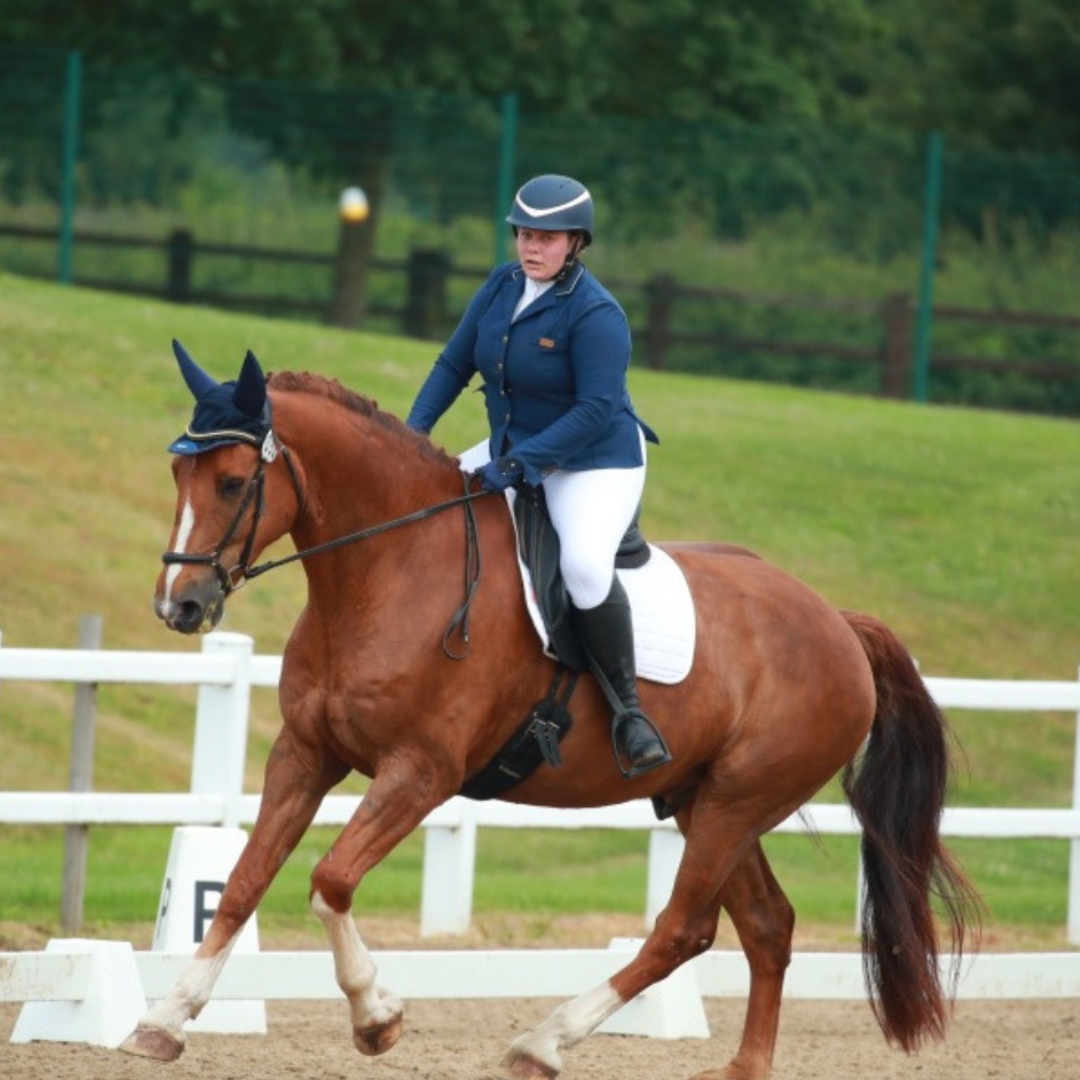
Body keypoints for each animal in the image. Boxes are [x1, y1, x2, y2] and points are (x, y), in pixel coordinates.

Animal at [122, 343, 980, 1080]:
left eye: (235, 482)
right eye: (178, 472)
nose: (178, 605)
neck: (388, 569)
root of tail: (838, 621)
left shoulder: (420, 771)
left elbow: (331, 879)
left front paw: (377, 1018)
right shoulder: (305, 752)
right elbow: (243, 882)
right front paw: (163, 1023)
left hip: (740, 800)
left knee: (681, 928)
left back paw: (543, 1041)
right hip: (704, 797)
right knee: (763, 927)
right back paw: (740, 1067)